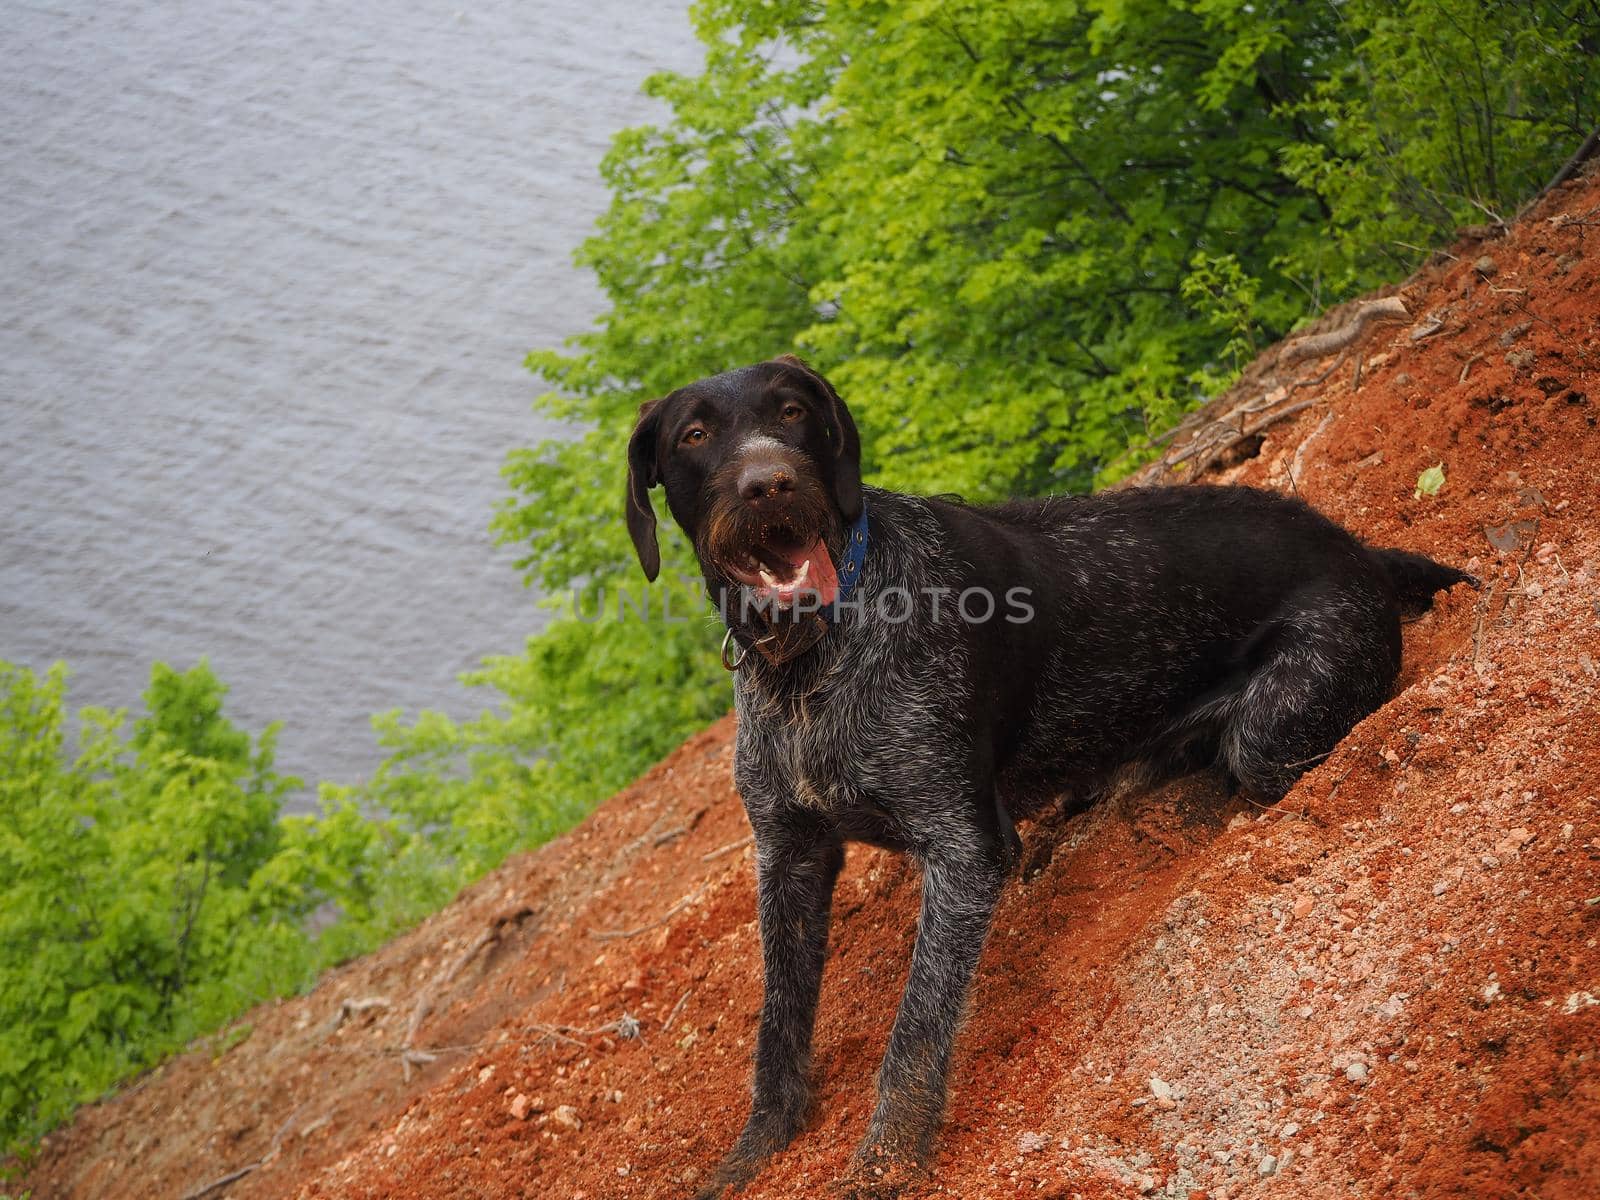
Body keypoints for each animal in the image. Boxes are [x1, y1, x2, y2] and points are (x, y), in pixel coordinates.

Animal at [624, 355, 1472, 1196]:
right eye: (695, 434)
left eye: (793, 411)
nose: (768, 483)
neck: (807, 665)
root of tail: (1357, 548)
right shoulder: (789, 854)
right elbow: (778, 1021)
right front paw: (755, 1151)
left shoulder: (963, 850)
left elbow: (916, 1029)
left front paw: (886, 1162)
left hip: (1280, 717)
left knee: (1247, 759)